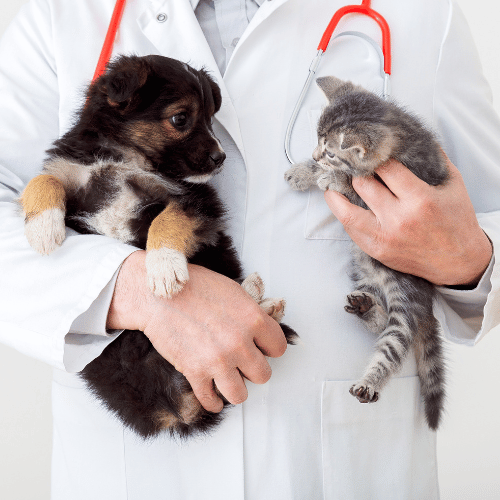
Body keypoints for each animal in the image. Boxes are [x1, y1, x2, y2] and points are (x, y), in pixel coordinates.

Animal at [20, 53, 296, 438]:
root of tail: (175, 410)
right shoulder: (74, 170)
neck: (127, 157)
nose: (220, 158)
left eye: (211, 118)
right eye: (181, 118)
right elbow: (44, 178)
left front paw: (164, 267)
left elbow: (168, 218)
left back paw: (260, 300)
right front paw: (43, 227)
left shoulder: (195, 200)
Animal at [288, 75, 448, 430]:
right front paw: (304, 171)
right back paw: (367, 308)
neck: (400, 130)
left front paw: (330, 177)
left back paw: (371, 381)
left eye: (331, 151)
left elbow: (351, 186)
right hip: (364, 270)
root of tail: (427, 295)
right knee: (379, 316)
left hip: (405, 294)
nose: (315, 155)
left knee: (396, 336)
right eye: (317, 139)